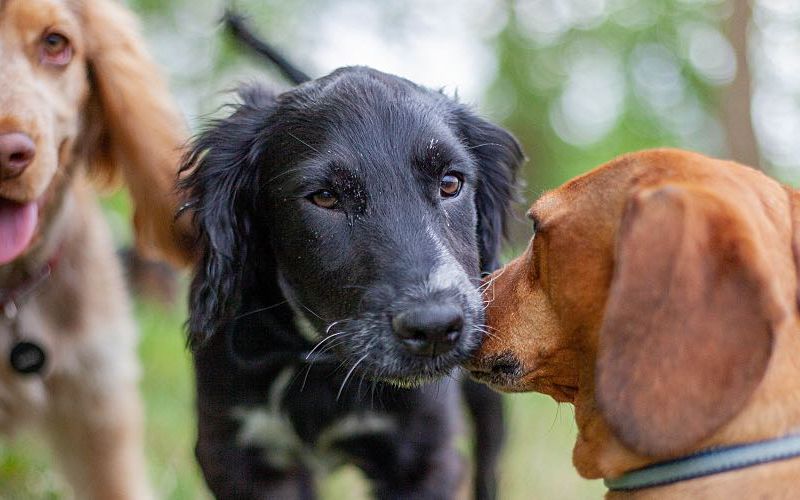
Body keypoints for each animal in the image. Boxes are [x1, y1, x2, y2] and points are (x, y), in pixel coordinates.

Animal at [179, 20, 520, 500]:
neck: (321, 361)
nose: (436, 327)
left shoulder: (424, 456)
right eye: (324, 197)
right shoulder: (235, 454)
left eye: (451, 183)